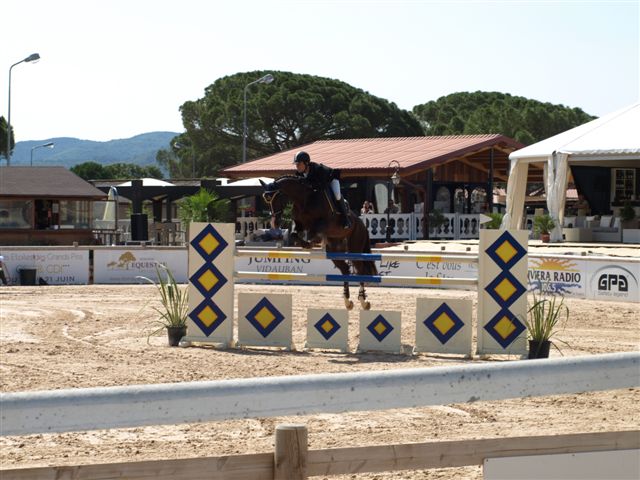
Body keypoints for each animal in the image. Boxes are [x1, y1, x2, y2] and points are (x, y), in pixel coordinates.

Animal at [261, 176, 377, 310]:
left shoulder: (324, 223)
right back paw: (347, 301)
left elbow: (314, 232)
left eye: (276, 197)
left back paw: (363, 301)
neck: (304, 199)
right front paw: (306, 244)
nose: (275, 222)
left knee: (360, 270)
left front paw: (311, 242)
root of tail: (362, 224)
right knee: (345, 270)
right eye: (266, 201)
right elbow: (294, 234)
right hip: (334, 251)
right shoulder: (299, 223)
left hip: (355, 247)